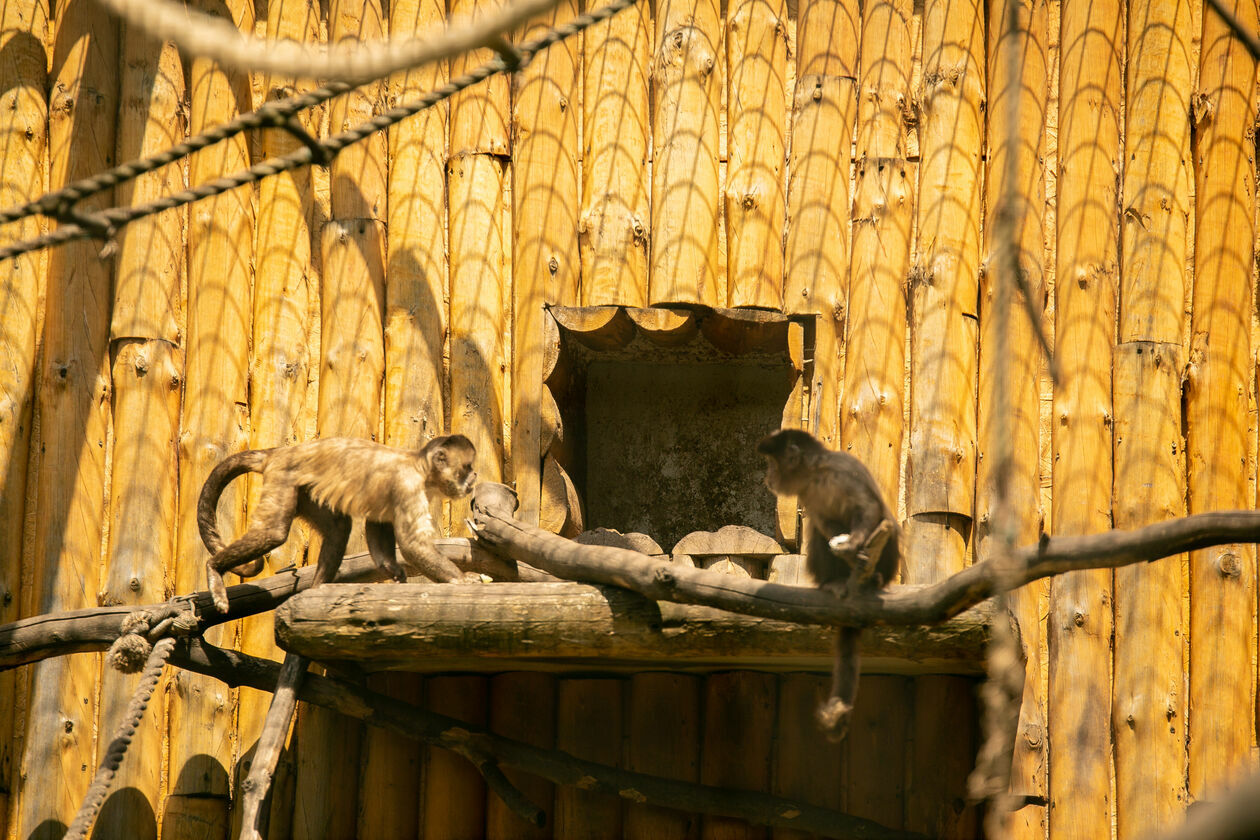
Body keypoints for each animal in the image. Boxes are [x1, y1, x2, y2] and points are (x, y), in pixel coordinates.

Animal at [199, 438, 478, 614]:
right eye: (467, 467)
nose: (474, 476)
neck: (420, 467)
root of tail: (279, 452)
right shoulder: (408, 485)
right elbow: (412, 545)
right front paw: (462, 581)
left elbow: (378, 522)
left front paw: (391, 569)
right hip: (283, 475)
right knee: (273, 533)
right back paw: (213, 568)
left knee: (338, 528)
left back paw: (317, 590)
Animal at [750, 430, 902, 740]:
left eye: (772, 464)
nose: (768, 478)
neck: (817, 475)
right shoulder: (807, 493)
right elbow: (823, 524)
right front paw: (845, 551)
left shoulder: (843, 472)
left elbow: (868, 508)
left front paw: (854, 544)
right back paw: (834, 582)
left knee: (887, 522)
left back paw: (873, 578)